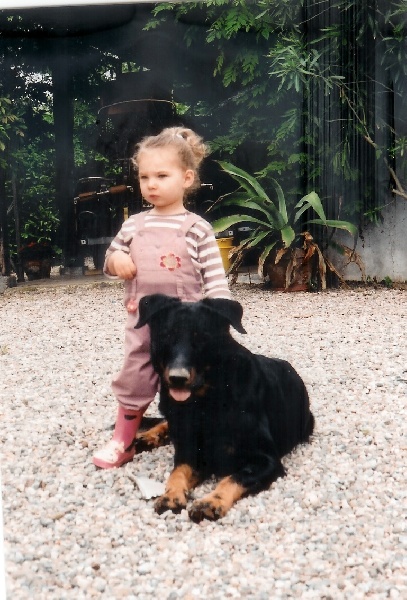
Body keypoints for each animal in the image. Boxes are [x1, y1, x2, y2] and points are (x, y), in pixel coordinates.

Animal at [135, 292, 316, 524]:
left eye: (202, 338)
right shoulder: (190, 451)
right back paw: (150, 435)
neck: (206, 403)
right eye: (166, 336)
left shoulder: (266, 460)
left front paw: (210, 502)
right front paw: (171, 495)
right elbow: (177, 472)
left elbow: (234, 477)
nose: (177, 378)